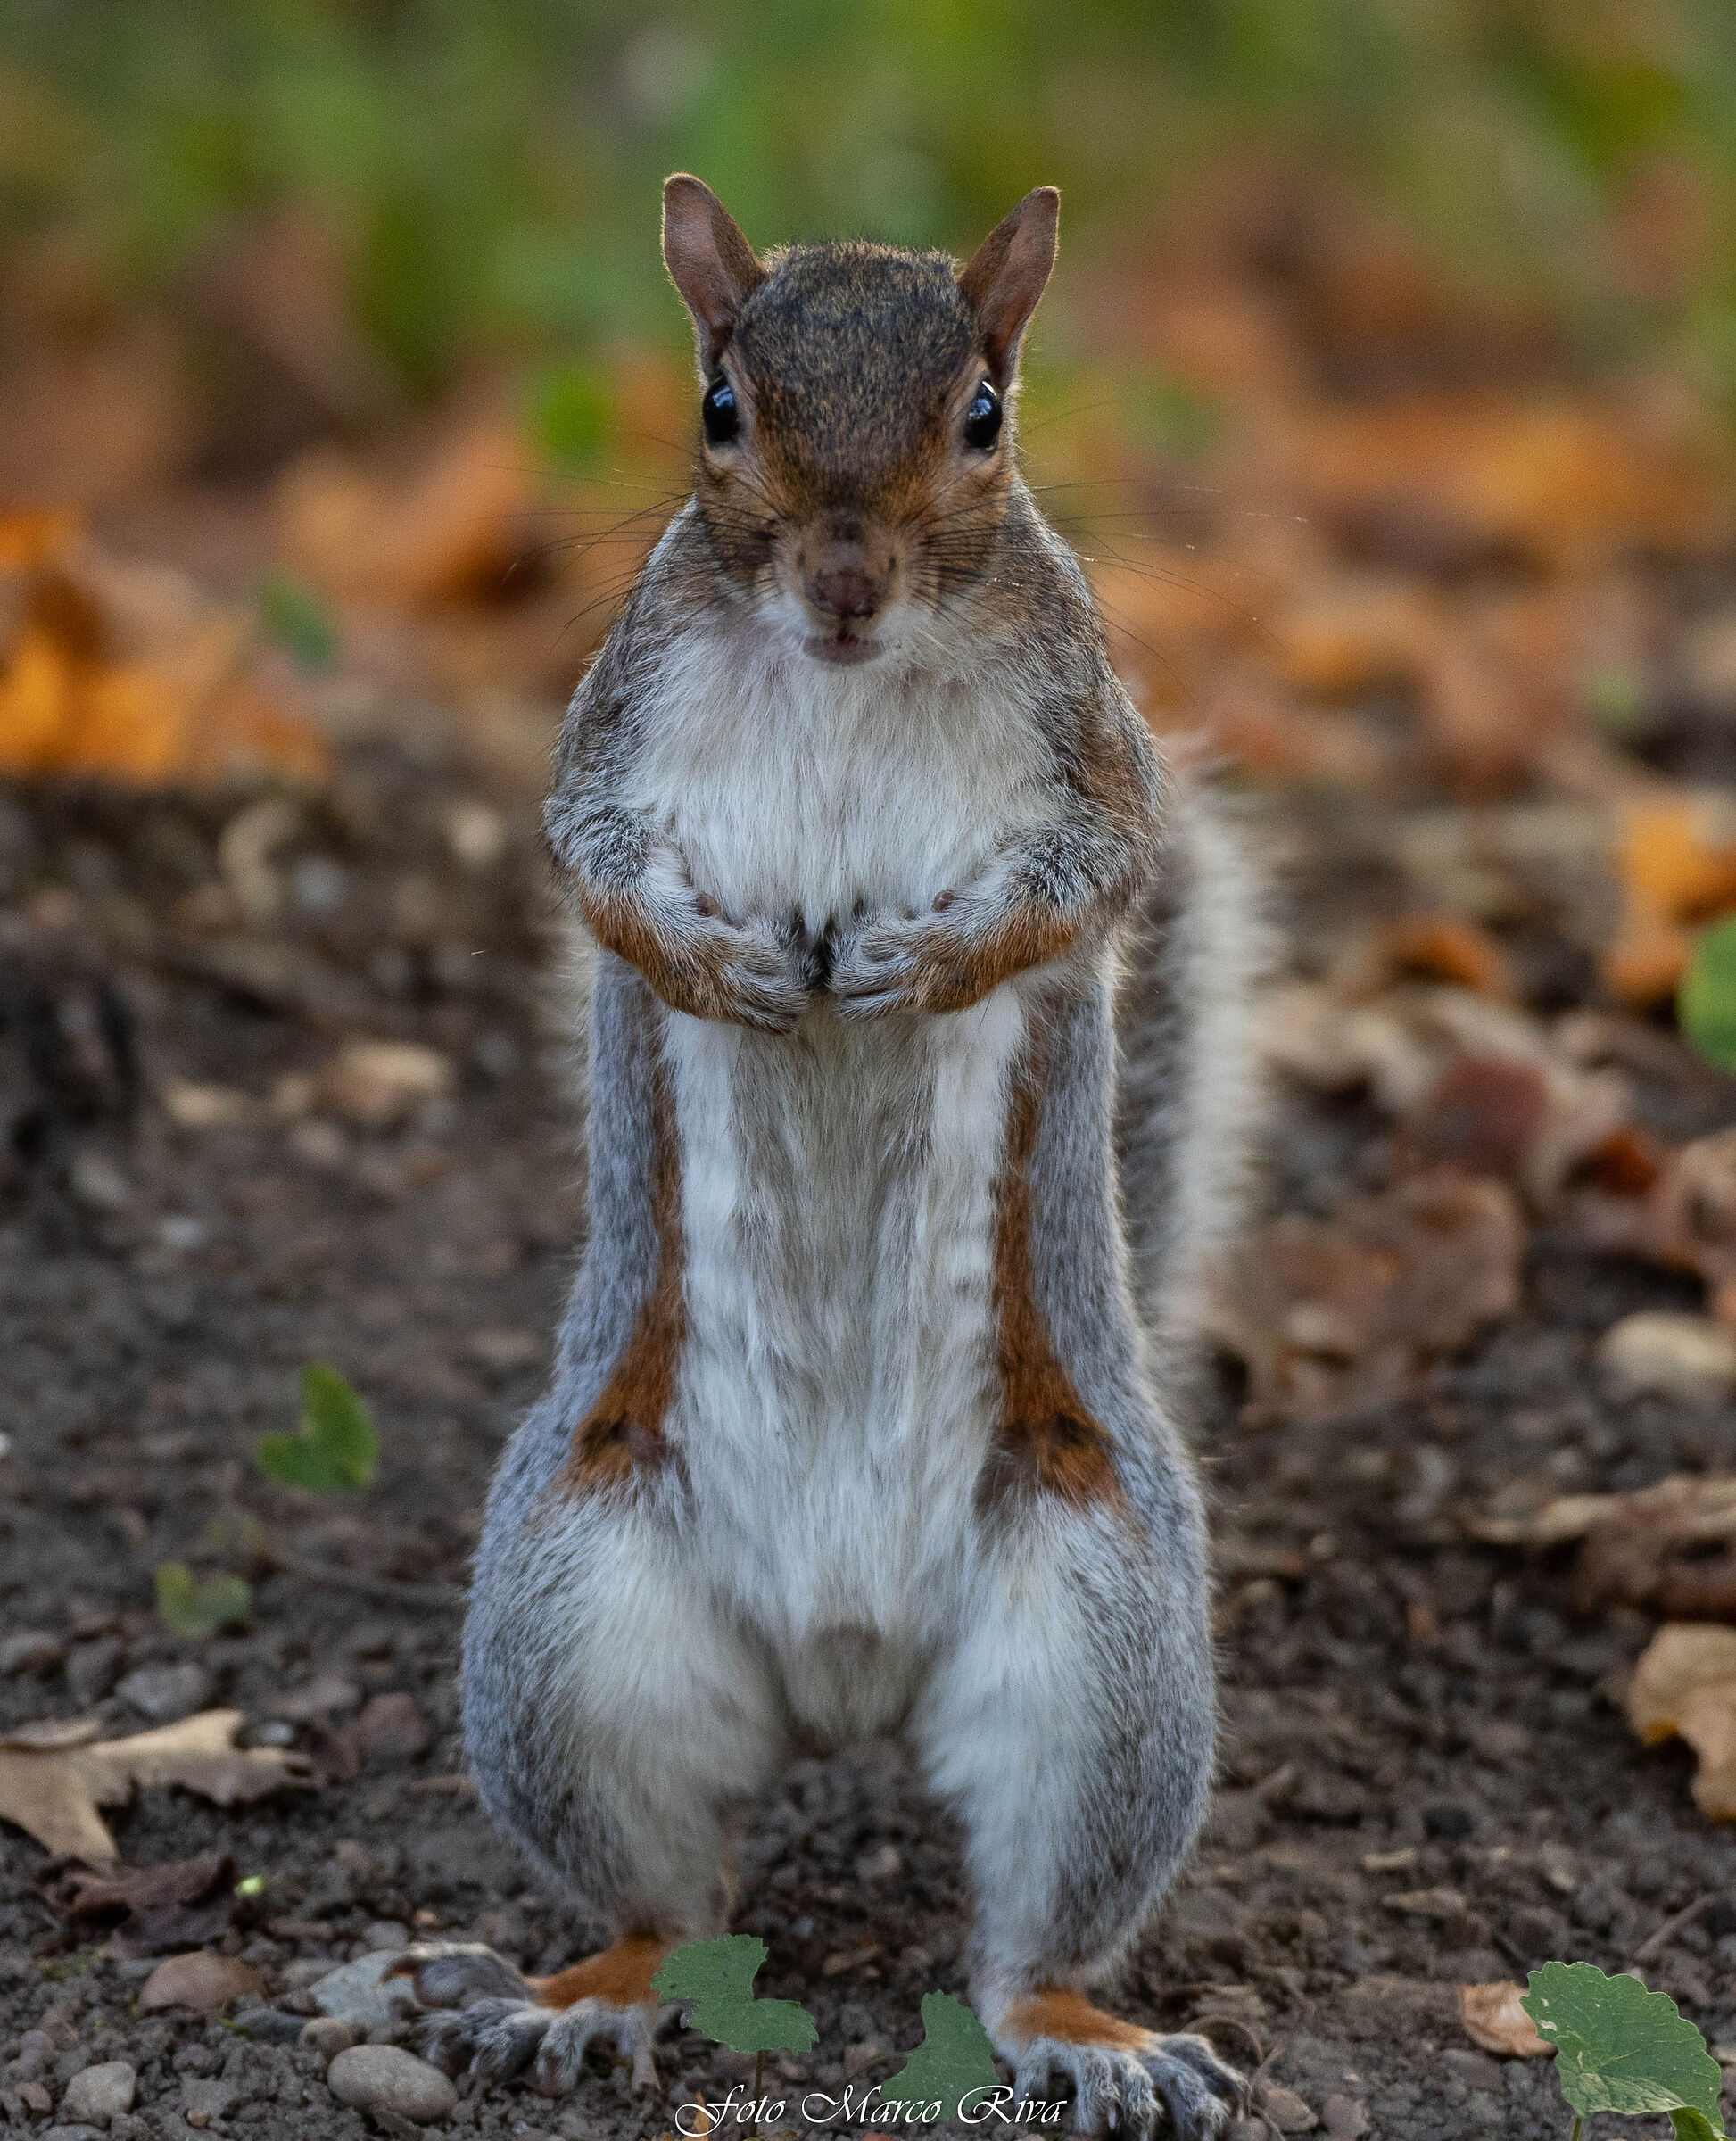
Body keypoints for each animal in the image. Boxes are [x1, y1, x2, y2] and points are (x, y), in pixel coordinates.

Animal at [395, 177, 1265, 2140]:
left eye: (986, 415)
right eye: (720, 406)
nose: (849, 579)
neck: (854, 671)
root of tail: (844, 1671)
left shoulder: (1088, 750)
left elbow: (1085, 883)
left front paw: (912, 967)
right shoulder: (610, 727)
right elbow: (594, 870)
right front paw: (720, 964)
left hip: (1101, 1645)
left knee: (1025, 1934)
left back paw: (1084, 2038)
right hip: (571, 1616)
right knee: (667, 1895)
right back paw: (588, 1997)